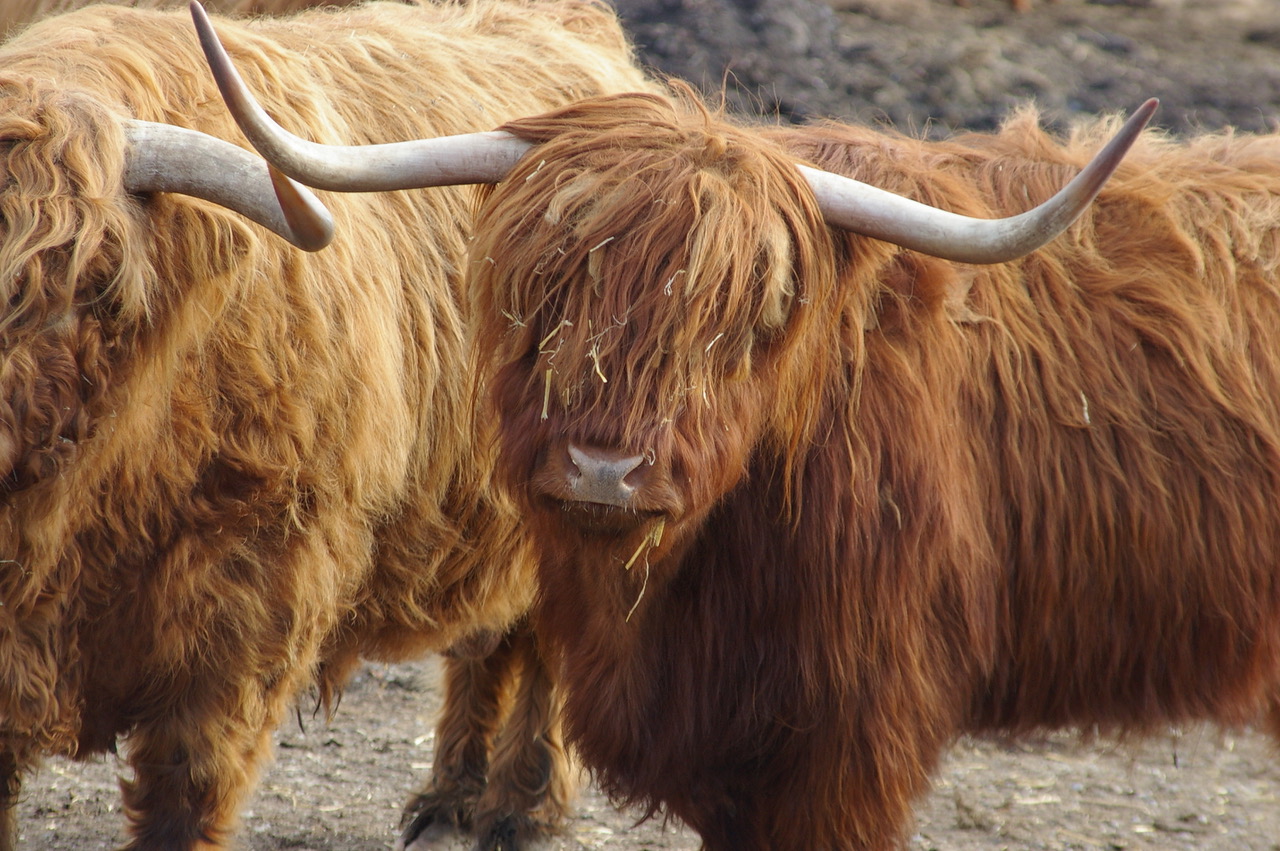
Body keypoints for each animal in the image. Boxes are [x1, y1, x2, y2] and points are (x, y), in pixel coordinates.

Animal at [0, 1, 653, 849]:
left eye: (93, 283)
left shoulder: (244, 610)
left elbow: (186, 789)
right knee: (486, 640)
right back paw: (450, 796)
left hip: (580, 491)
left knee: (539, 647)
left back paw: (518, 807)